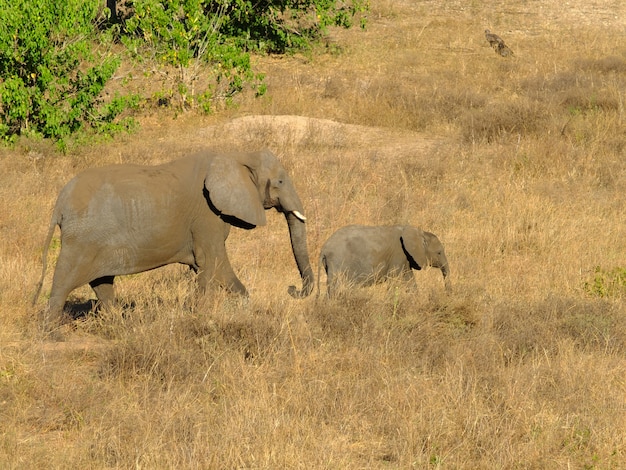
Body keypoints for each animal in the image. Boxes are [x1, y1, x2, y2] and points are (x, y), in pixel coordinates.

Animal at [32, 148, 314, 316]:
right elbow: (213, 263)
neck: (236, 154)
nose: (292, 289)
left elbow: (211, 267)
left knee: (102, 283)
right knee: (63, 282)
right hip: (81, 239)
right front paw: (203, 313)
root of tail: (59, 203)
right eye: (279, 181)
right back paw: (52, 335)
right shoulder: (206, 215)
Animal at [316, 225, 448, 298]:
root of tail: (324, 249)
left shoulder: (405, 259)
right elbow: (393, 281)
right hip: (337, 261)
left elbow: (410, 281)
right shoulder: (398, 255)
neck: (419, 232)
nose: (448, 293)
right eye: (439, 253)